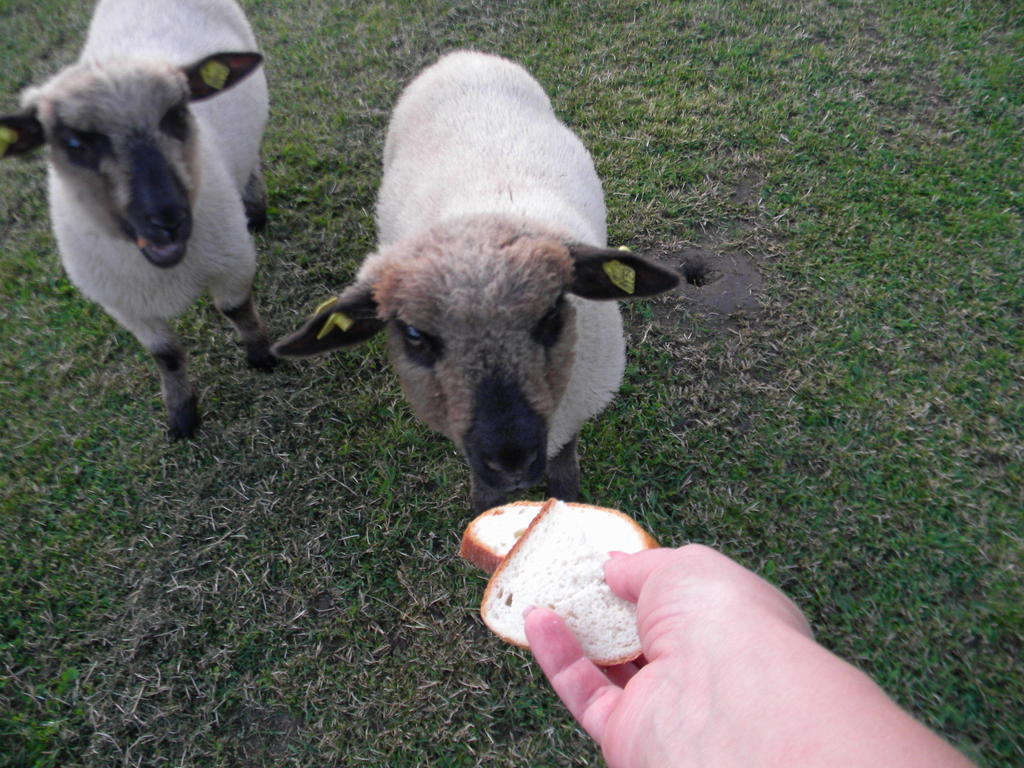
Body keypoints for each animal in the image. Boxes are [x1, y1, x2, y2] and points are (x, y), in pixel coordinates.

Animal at [0, 0, 276, 442]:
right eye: (73, 143)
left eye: (177, 114)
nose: (166, 219)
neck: (166, 271)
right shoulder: (124, 305)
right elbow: (166, 356)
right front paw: (181, 416)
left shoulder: (234, 261)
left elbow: (236, 310)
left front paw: (262, 356)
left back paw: (255, 207)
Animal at [272, 51, 679, 514]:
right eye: (414, 335)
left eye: (551, 313)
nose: (511, 459)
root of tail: (463, 55)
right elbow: (486, 497)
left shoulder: (572, 413)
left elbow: (564, 476)